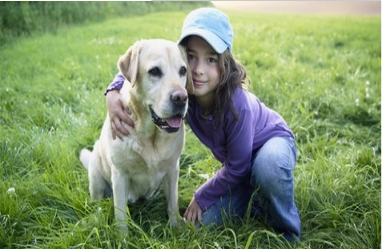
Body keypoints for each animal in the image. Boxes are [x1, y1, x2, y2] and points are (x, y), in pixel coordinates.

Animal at [78, 39, 191, 231]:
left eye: (182, 70)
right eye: (154, 71)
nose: (181, 98)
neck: (150, 136)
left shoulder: (172, 169)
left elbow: (173, 204)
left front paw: (176, 227)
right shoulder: (120, 176)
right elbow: (121, 216)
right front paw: (122, 236)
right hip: (95, 175)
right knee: (97, 203)